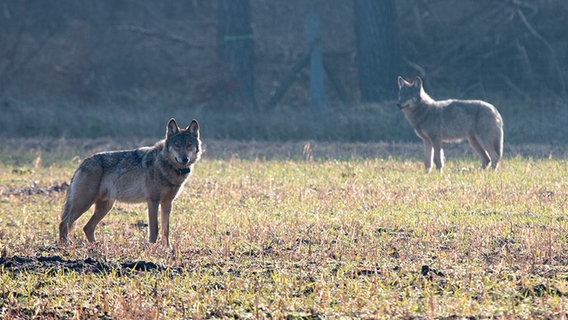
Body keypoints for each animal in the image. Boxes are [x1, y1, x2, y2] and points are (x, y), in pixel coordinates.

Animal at [59, 119, 202, 246]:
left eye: (189, 145)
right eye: (177, 145)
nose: (184, 159)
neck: (167, 166)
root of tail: (83, 162)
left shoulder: (167, 203)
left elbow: (166, 230)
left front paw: (168, 249)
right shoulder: (153, 201)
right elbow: (154, 229)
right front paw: (151, 249)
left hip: (105, 207)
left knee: (87, 227)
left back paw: (95, 247)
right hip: (84, 204)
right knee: (64, 224)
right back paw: (64, 247)